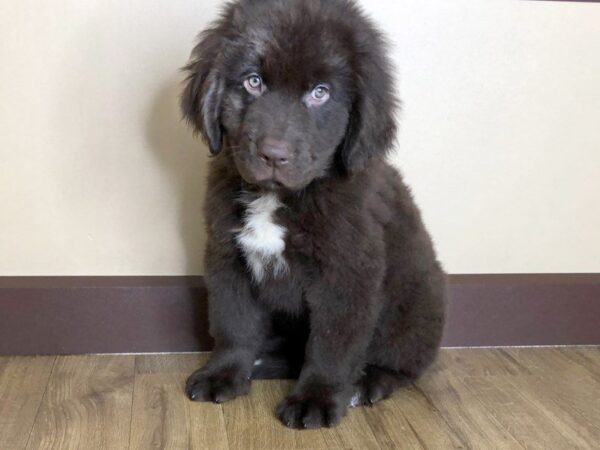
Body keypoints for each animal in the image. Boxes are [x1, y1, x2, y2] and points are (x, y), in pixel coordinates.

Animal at [178, 0, 446, 428]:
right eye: (254, 82)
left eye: (320, 93)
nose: (274, 154)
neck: (279, 198)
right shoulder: (227, 257)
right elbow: (233, 322)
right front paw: (224, 373)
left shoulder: (346, 273)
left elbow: (331, 344)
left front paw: (316, 398)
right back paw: (266, 362)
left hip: (417, 305)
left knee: (402, 363)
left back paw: (368, 383)